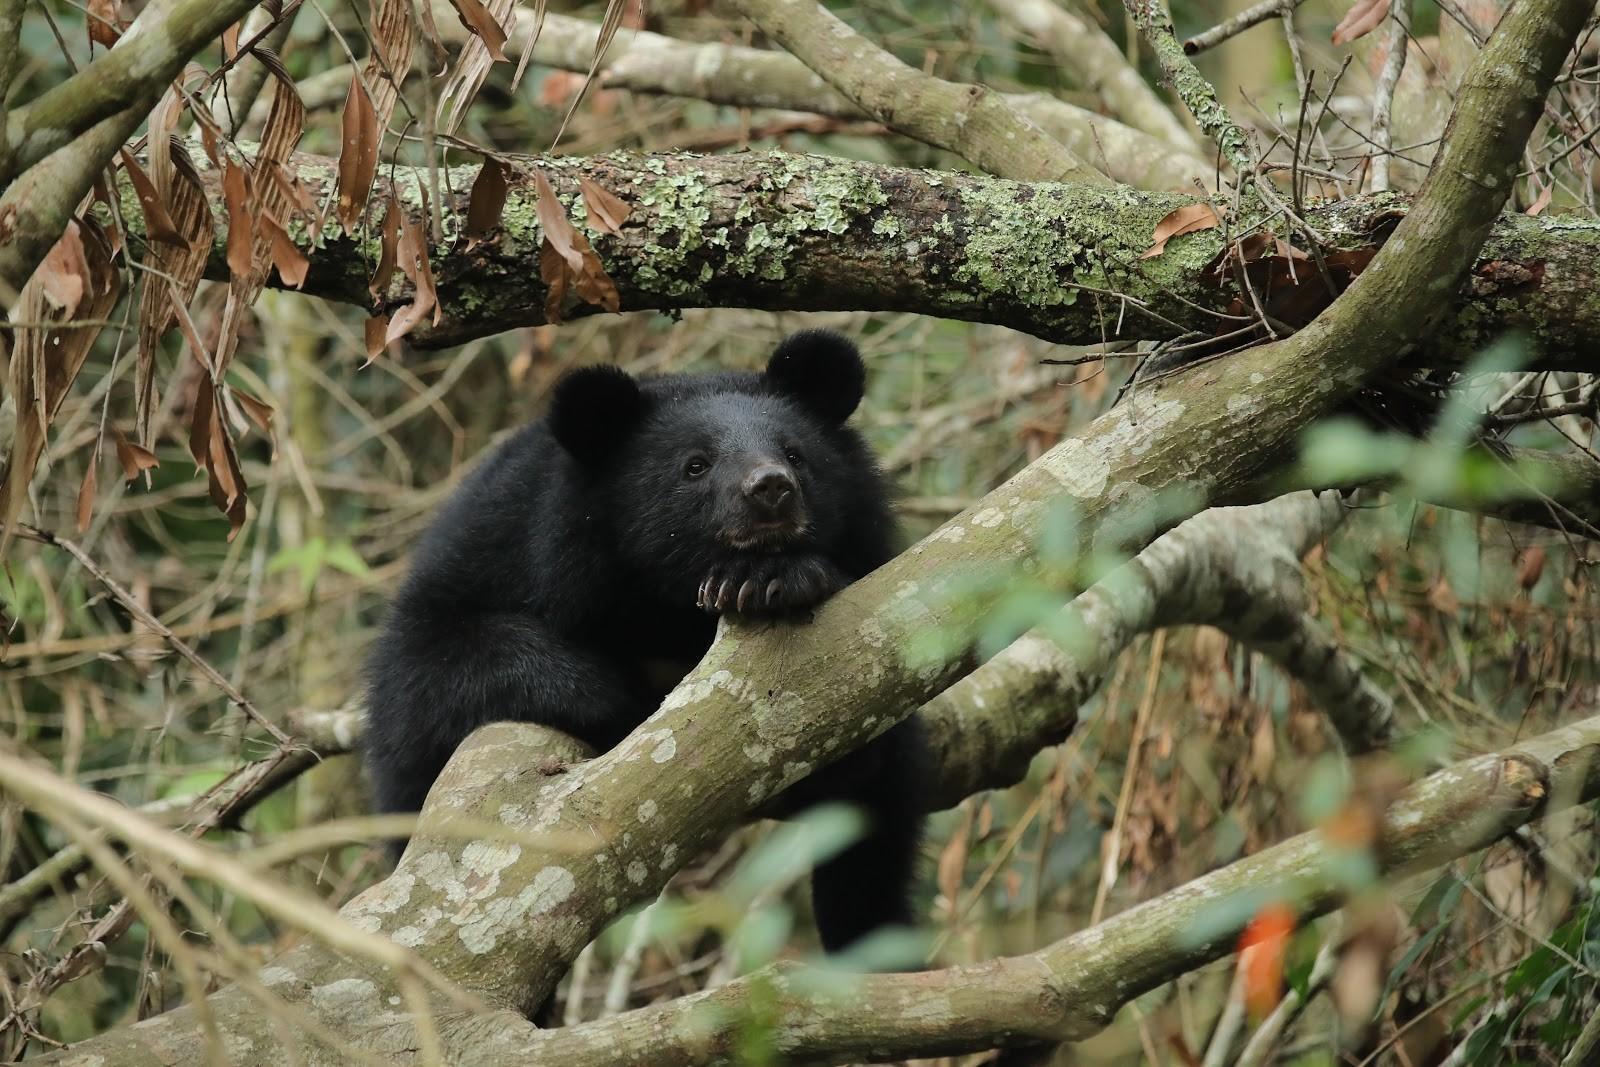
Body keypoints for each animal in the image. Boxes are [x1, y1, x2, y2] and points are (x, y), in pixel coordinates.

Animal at [363, 329, 927, 954]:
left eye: (796, 453)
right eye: (695, 466)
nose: (771, 489)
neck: (665, 603)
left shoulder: (869, 571)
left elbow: (861, 747)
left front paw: (768, 581)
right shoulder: (500, 545)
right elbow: (429, 669)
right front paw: (617, 697)